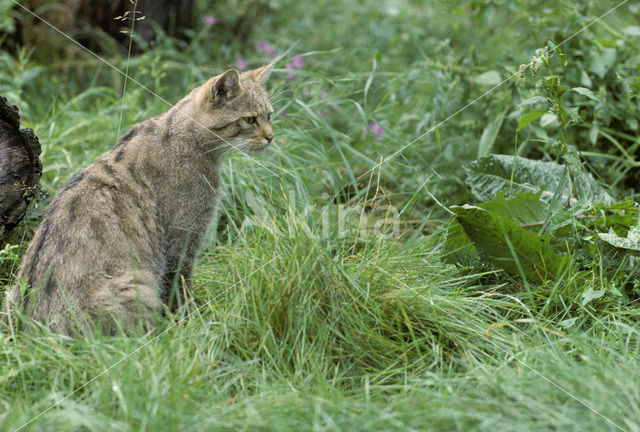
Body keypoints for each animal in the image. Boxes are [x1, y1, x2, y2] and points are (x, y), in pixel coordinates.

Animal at [1, 62, 276, 336]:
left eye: (270, 116)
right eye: (249, 119)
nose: (271, 137)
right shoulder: (181, 242)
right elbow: (180, 288)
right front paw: (190, 323)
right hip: (138, 285)